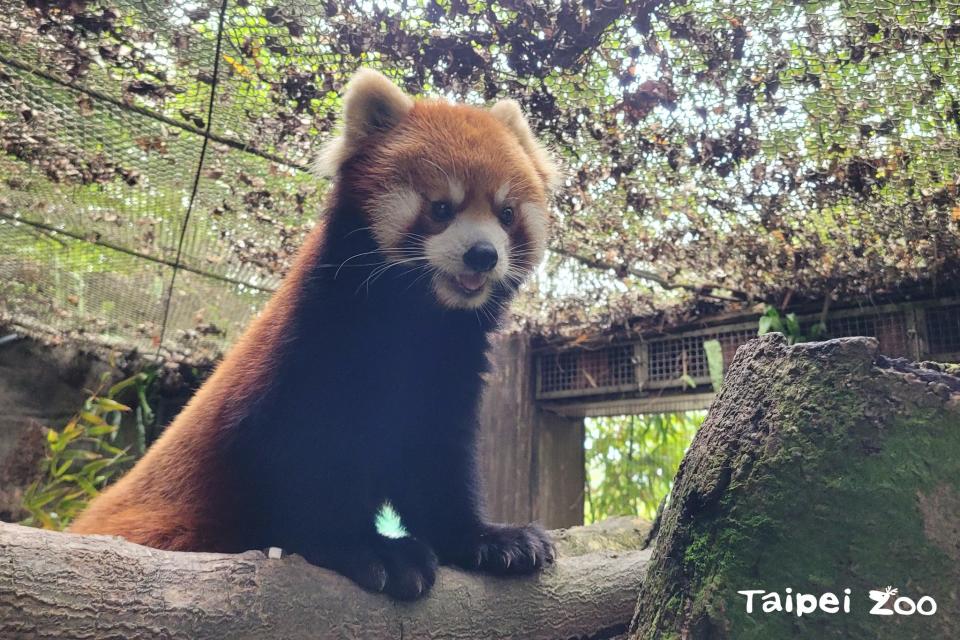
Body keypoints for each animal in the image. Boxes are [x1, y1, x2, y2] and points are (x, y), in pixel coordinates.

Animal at [71, 70, 560, 600]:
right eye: (441, 208)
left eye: (506, 214)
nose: (483, 254)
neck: (415, 322)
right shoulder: (304, 354)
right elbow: (302, 464)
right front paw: (367, 549)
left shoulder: (446, 375)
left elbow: (436, 467)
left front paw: (486, 539)